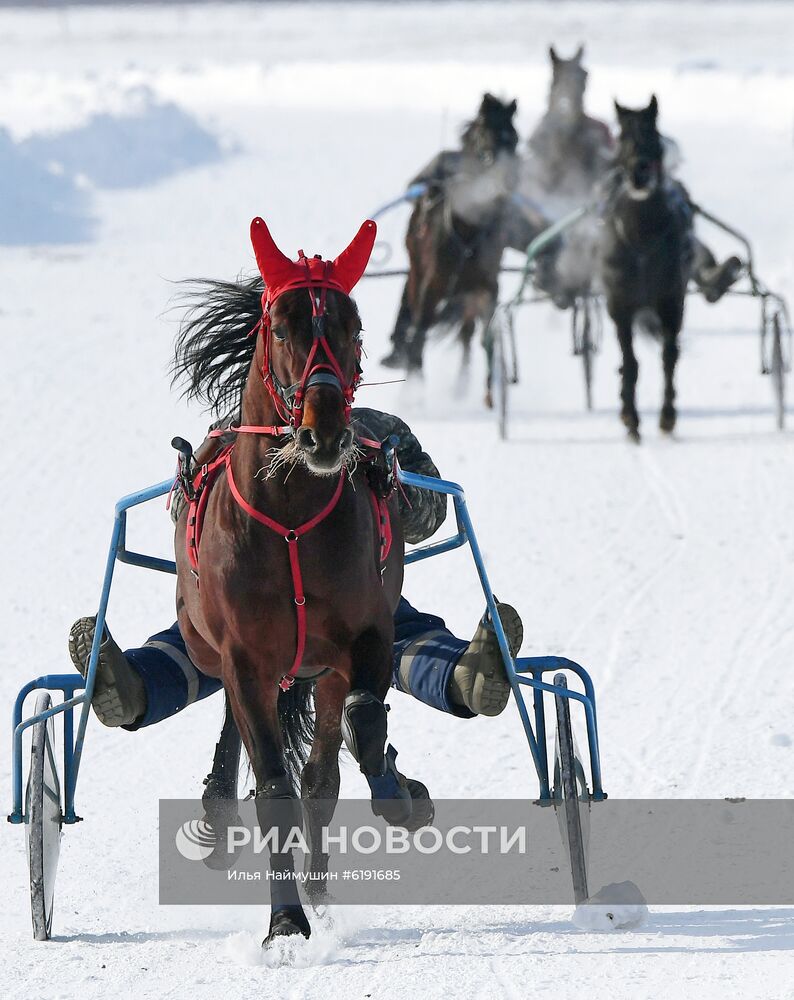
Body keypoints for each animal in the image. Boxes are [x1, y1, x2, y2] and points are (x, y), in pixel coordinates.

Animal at [170, 217, 424, 944]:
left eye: (353, 325)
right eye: (280, 328)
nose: (324, 432)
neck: (289, 519)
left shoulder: (362, 635)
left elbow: (358, 730)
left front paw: (398, 792)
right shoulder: (246, 657)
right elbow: (274, 785)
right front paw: (285, 921)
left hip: (320, 668)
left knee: (325, 770)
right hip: (214, 648)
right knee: (240, 726)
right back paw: (223, 807)